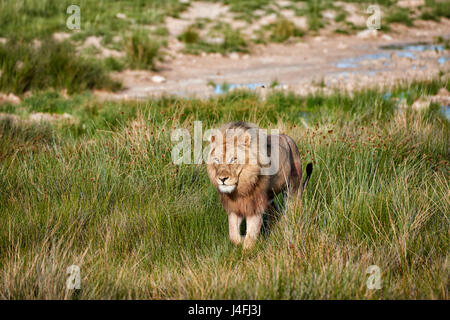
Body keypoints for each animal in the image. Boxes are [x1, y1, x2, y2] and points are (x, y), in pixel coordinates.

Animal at [207, 121, 312, 249]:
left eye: (233, 159)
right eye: (217, 160)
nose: (222, 179)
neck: (241, 188)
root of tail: (288, 137)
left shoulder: (255, 205)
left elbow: (251, 234)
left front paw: (247, 249)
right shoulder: (235, 207)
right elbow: (233, 235)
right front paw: (240, 241)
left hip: (293, 187)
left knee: (293, 208)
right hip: (270, 197)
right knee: (274, 212)